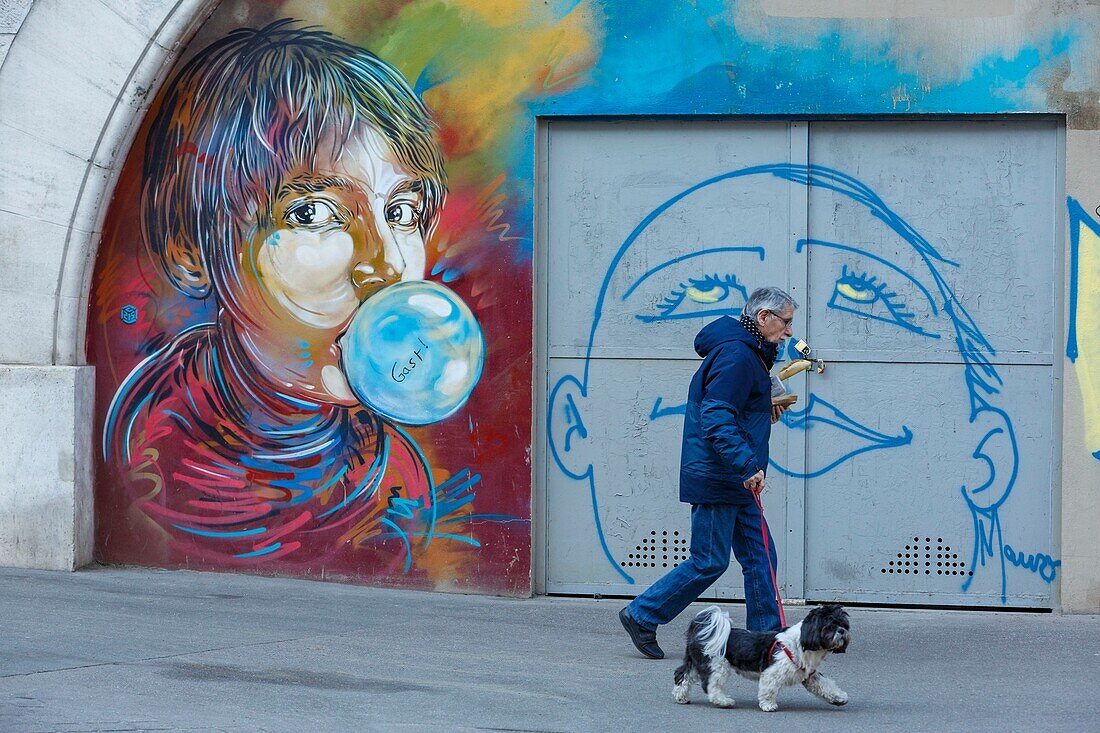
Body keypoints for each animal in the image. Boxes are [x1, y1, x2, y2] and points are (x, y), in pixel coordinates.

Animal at [668, 603, 849, 708]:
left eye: (843, 624)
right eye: (830, 626)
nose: (841, 631)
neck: (800, 643)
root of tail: (703, 630)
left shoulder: (810, 675)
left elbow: (825, 685)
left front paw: (839, 697)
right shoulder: (772, 672)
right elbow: (769, 689)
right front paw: (768, 705)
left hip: (696, 662)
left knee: (682, 675)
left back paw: (681, 696)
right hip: (716, 665)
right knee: (711, 685)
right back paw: (723, 701)